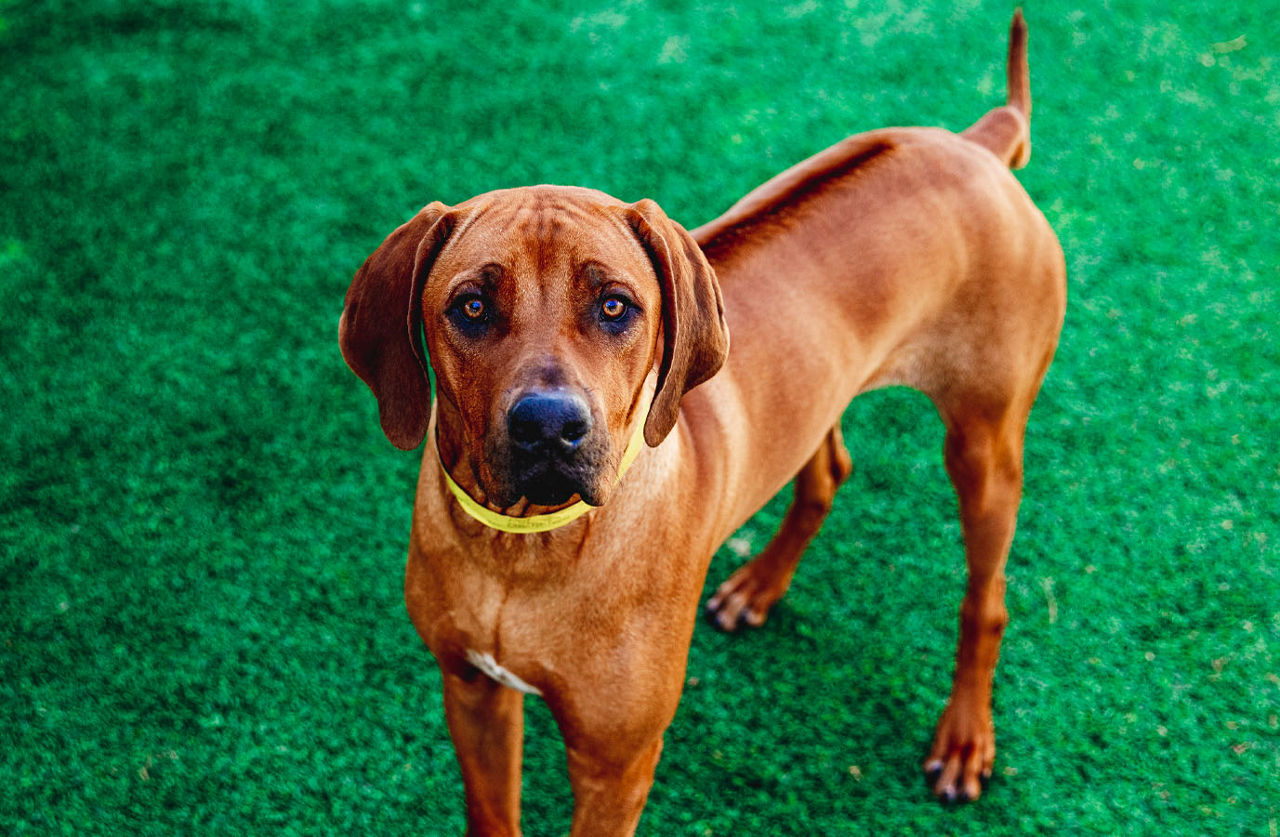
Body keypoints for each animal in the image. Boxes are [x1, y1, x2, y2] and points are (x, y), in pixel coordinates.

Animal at [337, 9, 1059, 834]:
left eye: (615, 305)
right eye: (472, 305)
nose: (550, 427)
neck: (521, 550)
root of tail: (978, 143)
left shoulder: (616, 762)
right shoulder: (471, 688)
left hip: (985, 441)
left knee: (986, 600)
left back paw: (965, 736)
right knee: (828, 468)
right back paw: (760, 584)